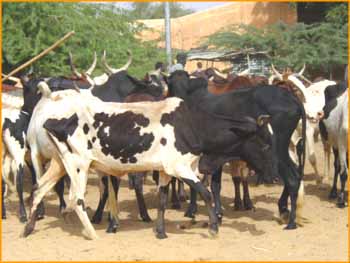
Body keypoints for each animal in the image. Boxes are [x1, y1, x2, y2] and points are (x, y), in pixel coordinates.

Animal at [23, 81, 276, 240]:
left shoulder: (165, 170)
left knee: (38, 188)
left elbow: (163, 201)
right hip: (78, 166)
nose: (272, 177)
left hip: (60, 164)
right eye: (263, 144)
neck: (190, 124)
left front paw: (161, 231)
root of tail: (55, 119)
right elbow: (205, 193)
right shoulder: (180, 167)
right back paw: (91, 233)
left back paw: (28, 228)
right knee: (75, 199)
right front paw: (213, 228)